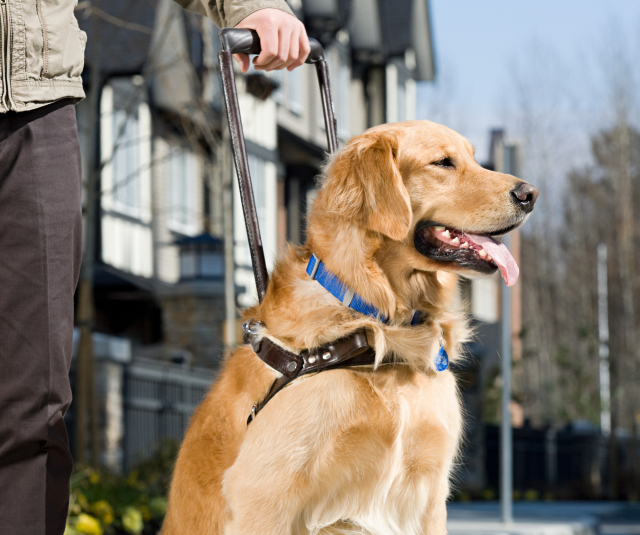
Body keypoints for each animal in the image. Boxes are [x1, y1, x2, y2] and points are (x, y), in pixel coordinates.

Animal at [162, 121, 536, 535]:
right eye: (442, 162)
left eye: (472, 158)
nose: (530, 194)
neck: (376, 323)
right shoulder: (263, 494)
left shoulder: (429, 495)